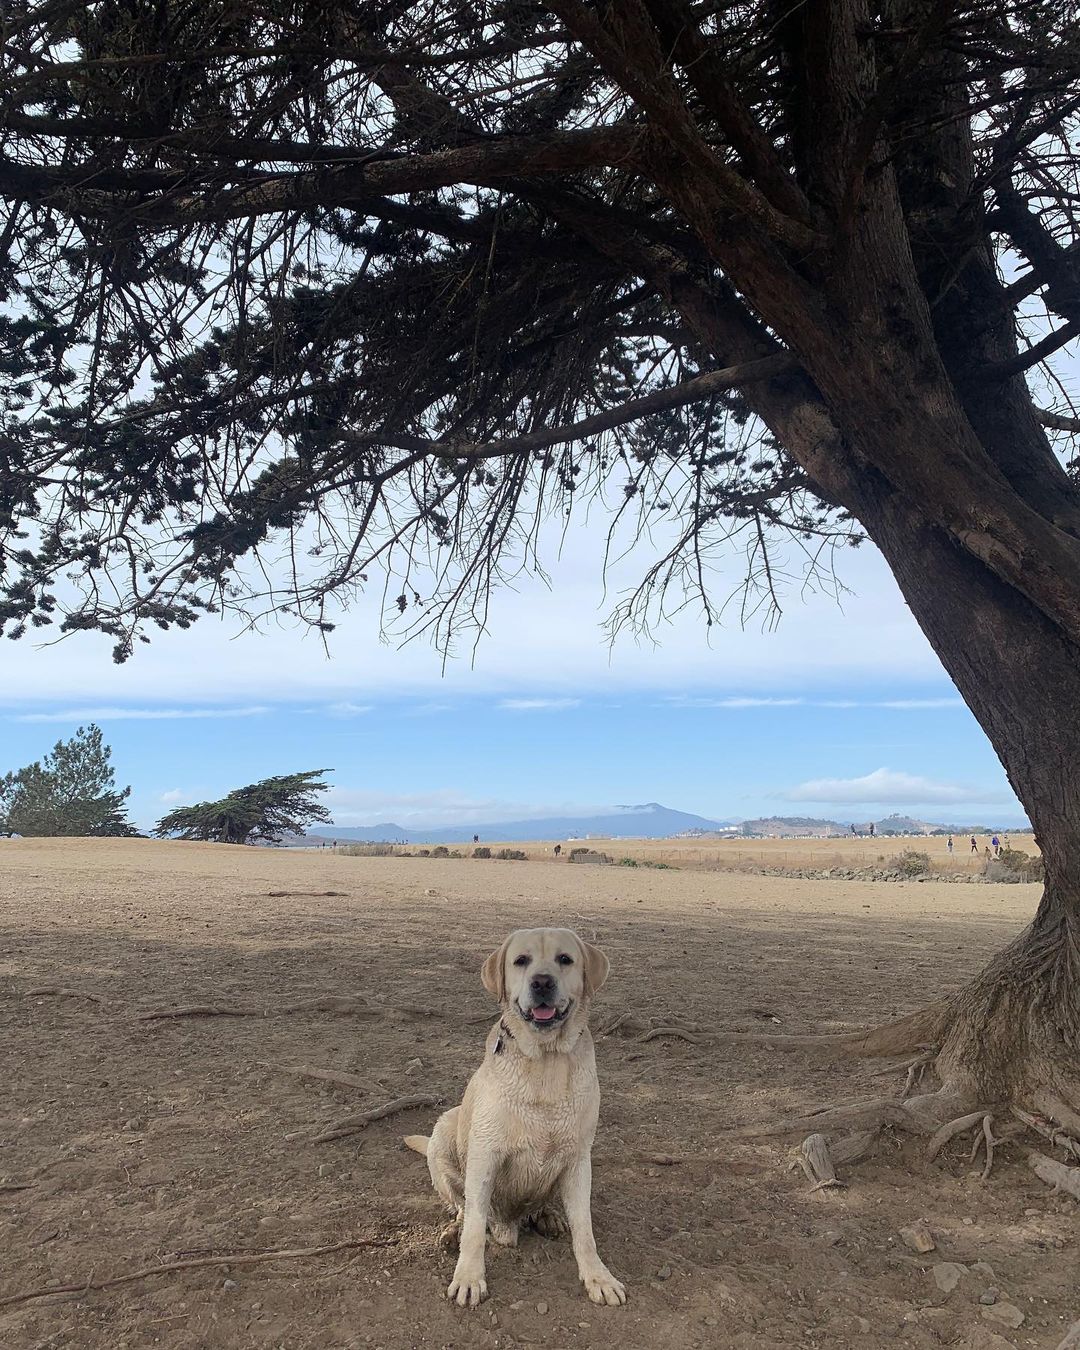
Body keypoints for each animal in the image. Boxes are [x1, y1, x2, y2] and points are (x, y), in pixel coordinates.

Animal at [402, 928, 623, 1306]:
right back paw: (453, 1231)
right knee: (461, 1208)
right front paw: (469, 1276)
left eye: (565, 959)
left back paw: (547, 1216)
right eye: (521, 960)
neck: (546, 1061)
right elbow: (475, 1225)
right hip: (445, 1132)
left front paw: (598, 1277)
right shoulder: (485, 1154)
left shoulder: (579, 1159)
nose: (542, 982)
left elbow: (585, 1229)